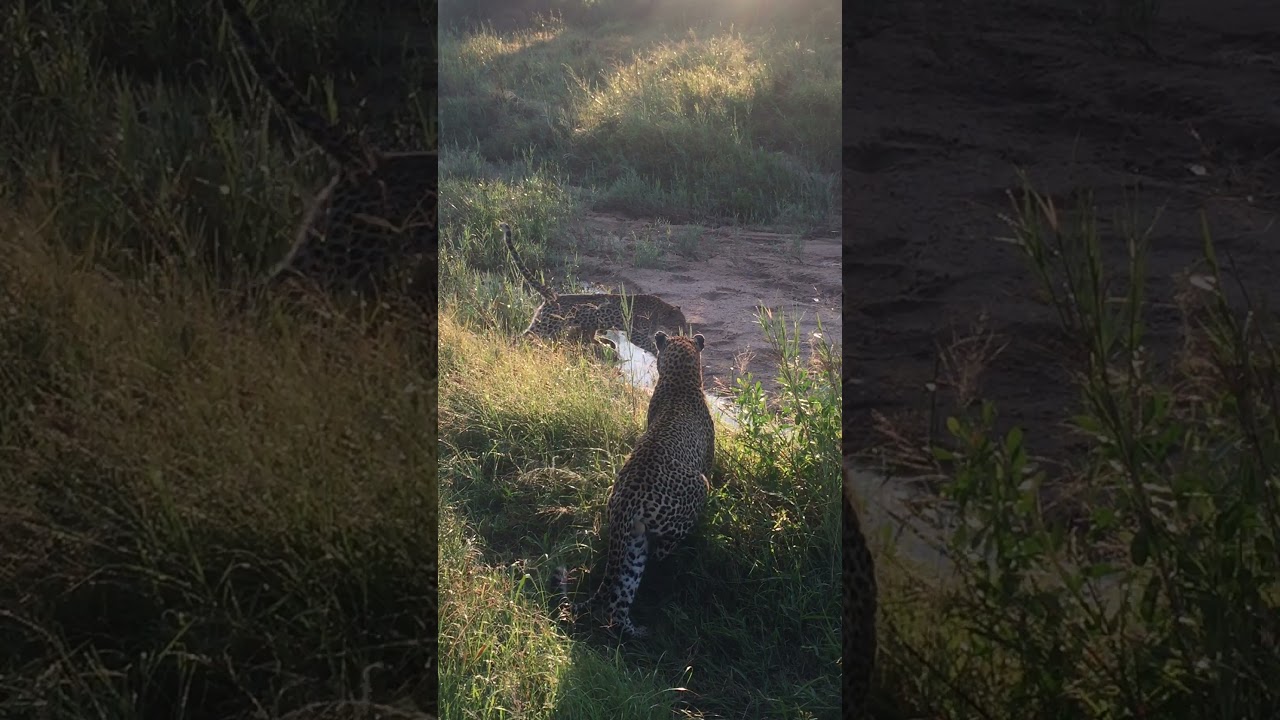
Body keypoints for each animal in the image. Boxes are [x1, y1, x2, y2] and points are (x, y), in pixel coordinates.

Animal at [500, 222, 687, 355]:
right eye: (680, 322)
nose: (684, 331)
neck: (660, 312)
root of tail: (553, 296)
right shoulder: (636, 334)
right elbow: (649, 344)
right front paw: (658, 353)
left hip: (584, 323)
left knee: (589, 337)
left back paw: (607, 344)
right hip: (545, 325)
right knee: (522, 336)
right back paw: (510, 350)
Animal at [555, 332, 715, 637]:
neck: (680, 379)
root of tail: (626, 501)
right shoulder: (707, 465)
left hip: (633, 543)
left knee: (618, 600)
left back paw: (636, 632)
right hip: (695, 491)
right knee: (662, 552)